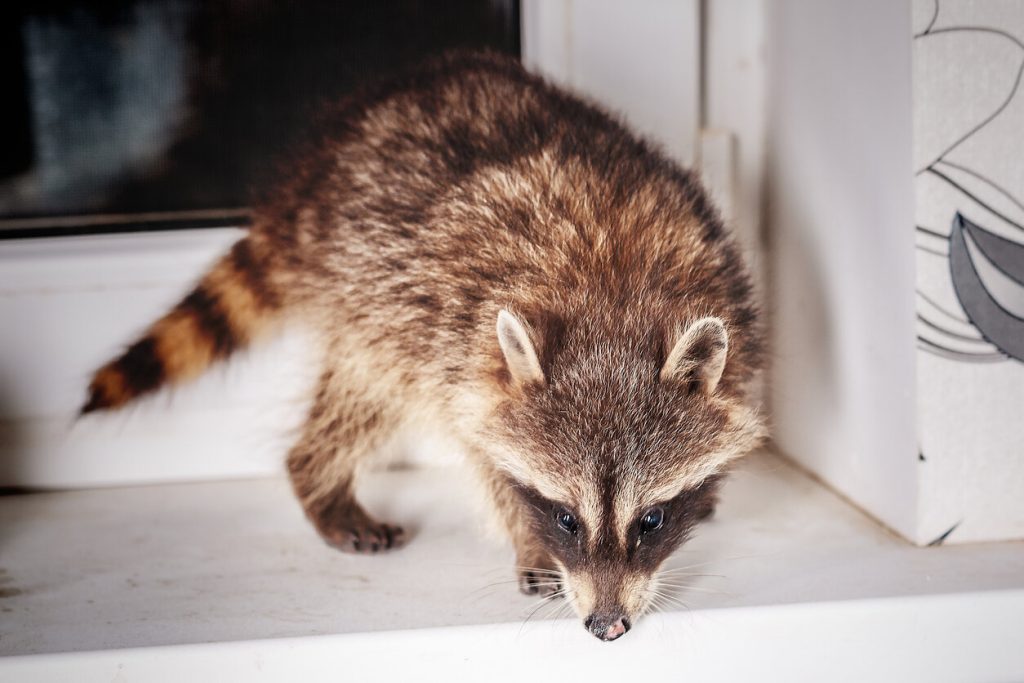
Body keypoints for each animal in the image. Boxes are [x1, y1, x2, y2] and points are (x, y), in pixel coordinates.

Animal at [82, 51, 765, 641]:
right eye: (565, 518)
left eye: (651, 520)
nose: (606, 627)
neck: (612, 308)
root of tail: (309, 182)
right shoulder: (458, 352)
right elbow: (484, 457)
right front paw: (528, 538)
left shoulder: (729, 289)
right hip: (367, 287)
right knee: (363, 393)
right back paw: (316, 472)